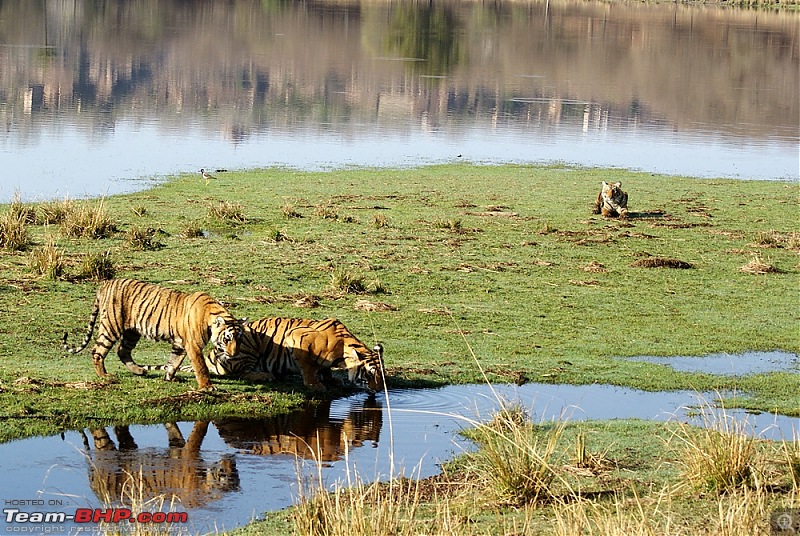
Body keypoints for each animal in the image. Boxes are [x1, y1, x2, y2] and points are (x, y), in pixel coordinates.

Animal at [63, 280, 242, 390]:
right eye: (227, 339)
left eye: (239, 340)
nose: (234, 354)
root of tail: (106, 283)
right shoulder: (193, 345)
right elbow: (201, 367)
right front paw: (207, 387)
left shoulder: (180, 344)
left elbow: (174, 362)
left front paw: (169, 378)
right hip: (111, 326)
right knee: (98, 351)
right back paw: (105, 376)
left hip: (132, 332)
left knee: (122, 351)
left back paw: (139, 371)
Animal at [145, 316, 386, 392]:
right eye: (369, 374)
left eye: (381, 375)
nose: (377, 390)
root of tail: (212, 355)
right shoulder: (297, 337)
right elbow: (309, 366)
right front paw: (314, 384)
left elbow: (323, 368)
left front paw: (330, 380)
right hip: (246, 343)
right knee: (238, 373)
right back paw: (266, 375)